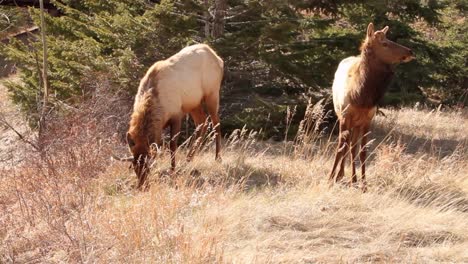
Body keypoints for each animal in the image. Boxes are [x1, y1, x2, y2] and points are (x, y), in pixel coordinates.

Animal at [119, 43, 224, 190]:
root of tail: (218, 58)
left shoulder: (177, 115)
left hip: (212, 93)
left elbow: (172, 145)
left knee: (216, 123)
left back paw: (217, 157)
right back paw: (189, 158)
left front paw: (173, 170)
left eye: (148, 167)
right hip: (194, 103)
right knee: (202, 122)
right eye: (135, 167)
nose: (142, 186)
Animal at [328, 23, 414, 190]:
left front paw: (364, 183)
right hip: (345, 118)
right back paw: (341, 175)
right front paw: (330, 178)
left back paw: (352, 178)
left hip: (356, 124)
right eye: (385, 43)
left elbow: (362, 151)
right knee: (347, 145)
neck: (360, 96)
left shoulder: (368, 119)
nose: (410, 51)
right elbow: (340, 147)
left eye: (388, 38)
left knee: (352, 147)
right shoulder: (344, 116)